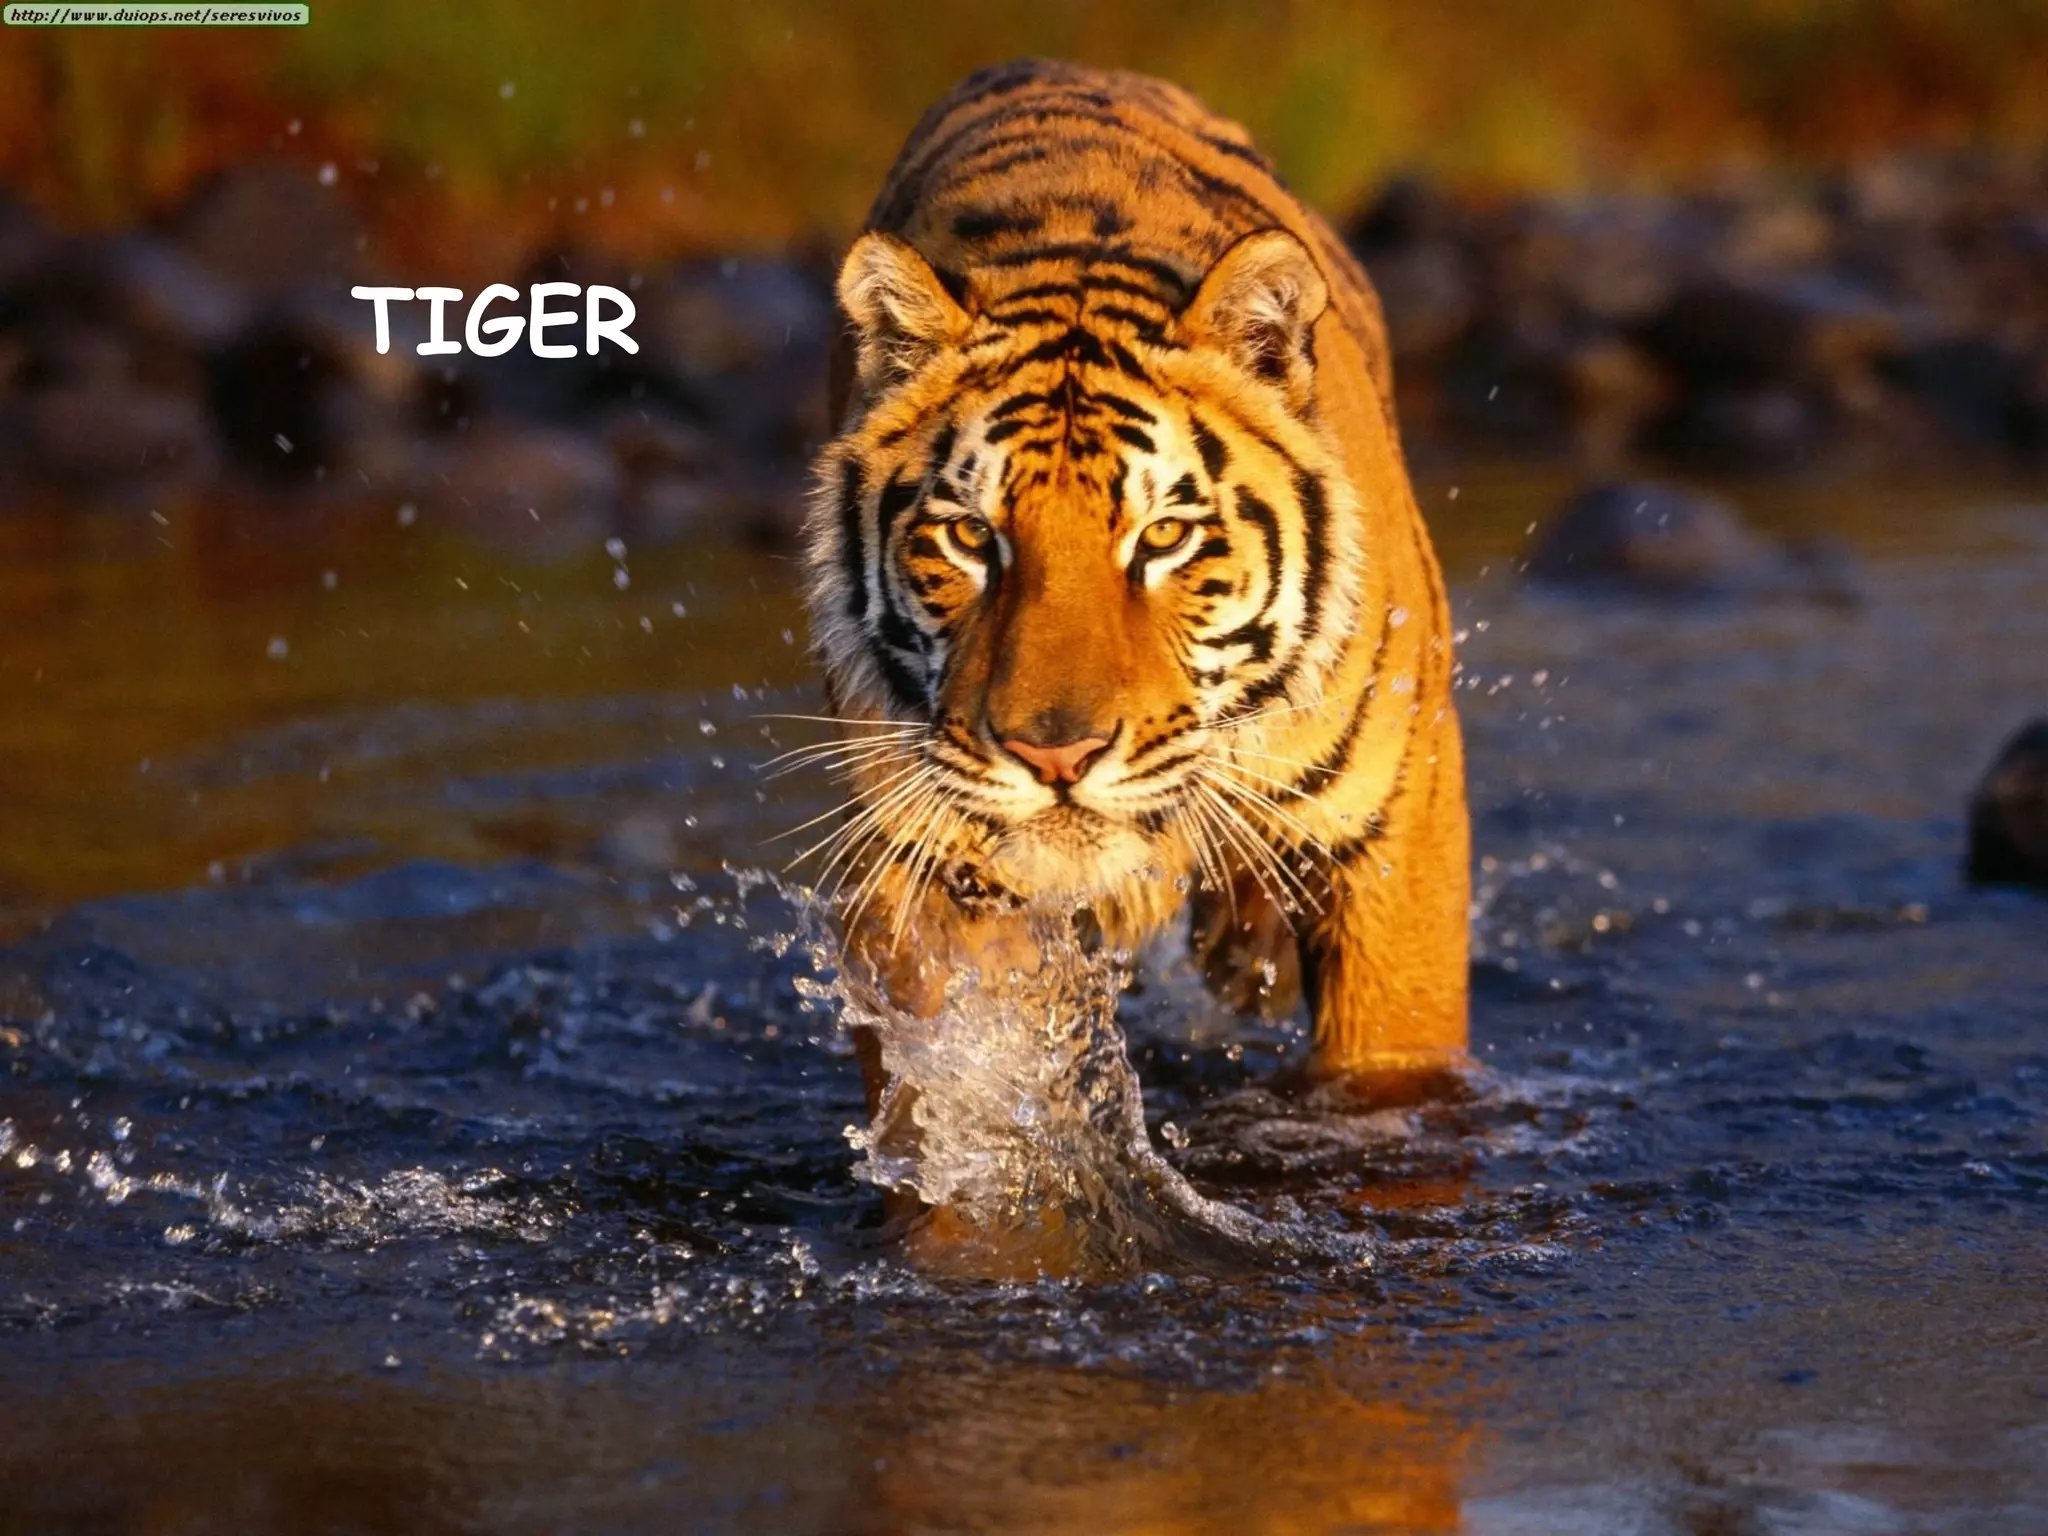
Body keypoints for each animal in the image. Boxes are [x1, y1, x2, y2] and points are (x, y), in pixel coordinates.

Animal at [799, 58, 1469, 1128]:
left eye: (1162, 538)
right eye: (971, 537)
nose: (1055, 757)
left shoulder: (1396, 834)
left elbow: (1389, 1064)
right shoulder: (922, 866)